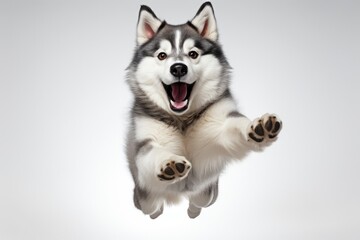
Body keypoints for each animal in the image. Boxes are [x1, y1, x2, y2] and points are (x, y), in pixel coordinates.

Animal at [125, 2, 282, 219]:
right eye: (162, 56)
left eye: (193, 54)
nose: (178, 68)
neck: (182, 119)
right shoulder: (145, 144)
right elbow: (154, 152)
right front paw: (169, 163)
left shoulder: (220, 126)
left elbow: (237, 124)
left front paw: (259, 127)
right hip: (143, 197)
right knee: (152, 205)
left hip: (209, 192)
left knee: (200, 199)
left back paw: (192, 211)